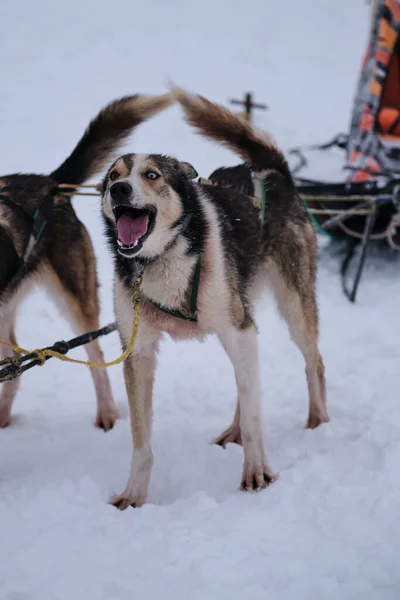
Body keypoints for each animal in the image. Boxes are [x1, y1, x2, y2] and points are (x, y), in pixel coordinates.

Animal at [101, 86, 328, 508]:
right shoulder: (138, 352)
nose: (118, 189)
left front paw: (256, 473)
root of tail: (274, 172)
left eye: (152, 175)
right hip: (239, 316)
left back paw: (318, 423)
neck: (164, 259)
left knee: (312, 363)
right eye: (112, 176)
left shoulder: (238, 330)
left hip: (289, 307)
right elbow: (142, 442)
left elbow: (256, 416)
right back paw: (234, 431)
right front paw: (134, 496)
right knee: (247, 385)